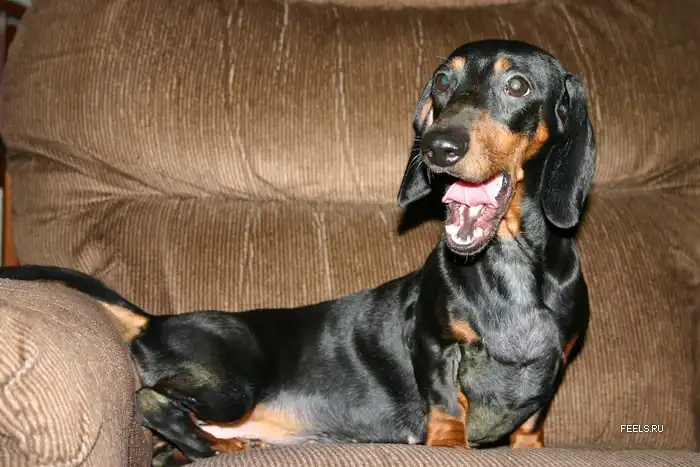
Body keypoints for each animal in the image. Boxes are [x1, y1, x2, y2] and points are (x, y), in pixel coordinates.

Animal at [0, 39, 595, 464]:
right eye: (443, 81)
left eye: (517, 85)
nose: (437, 147)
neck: (509, 268)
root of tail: (156, 320)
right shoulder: (433, 342)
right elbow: (445, 402)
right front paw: (450, 445)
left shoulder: (555, 364)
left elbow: (532, 419)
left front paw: (529, 448)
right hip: (229, 383)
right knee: (149, 400)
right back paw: (222, 445)